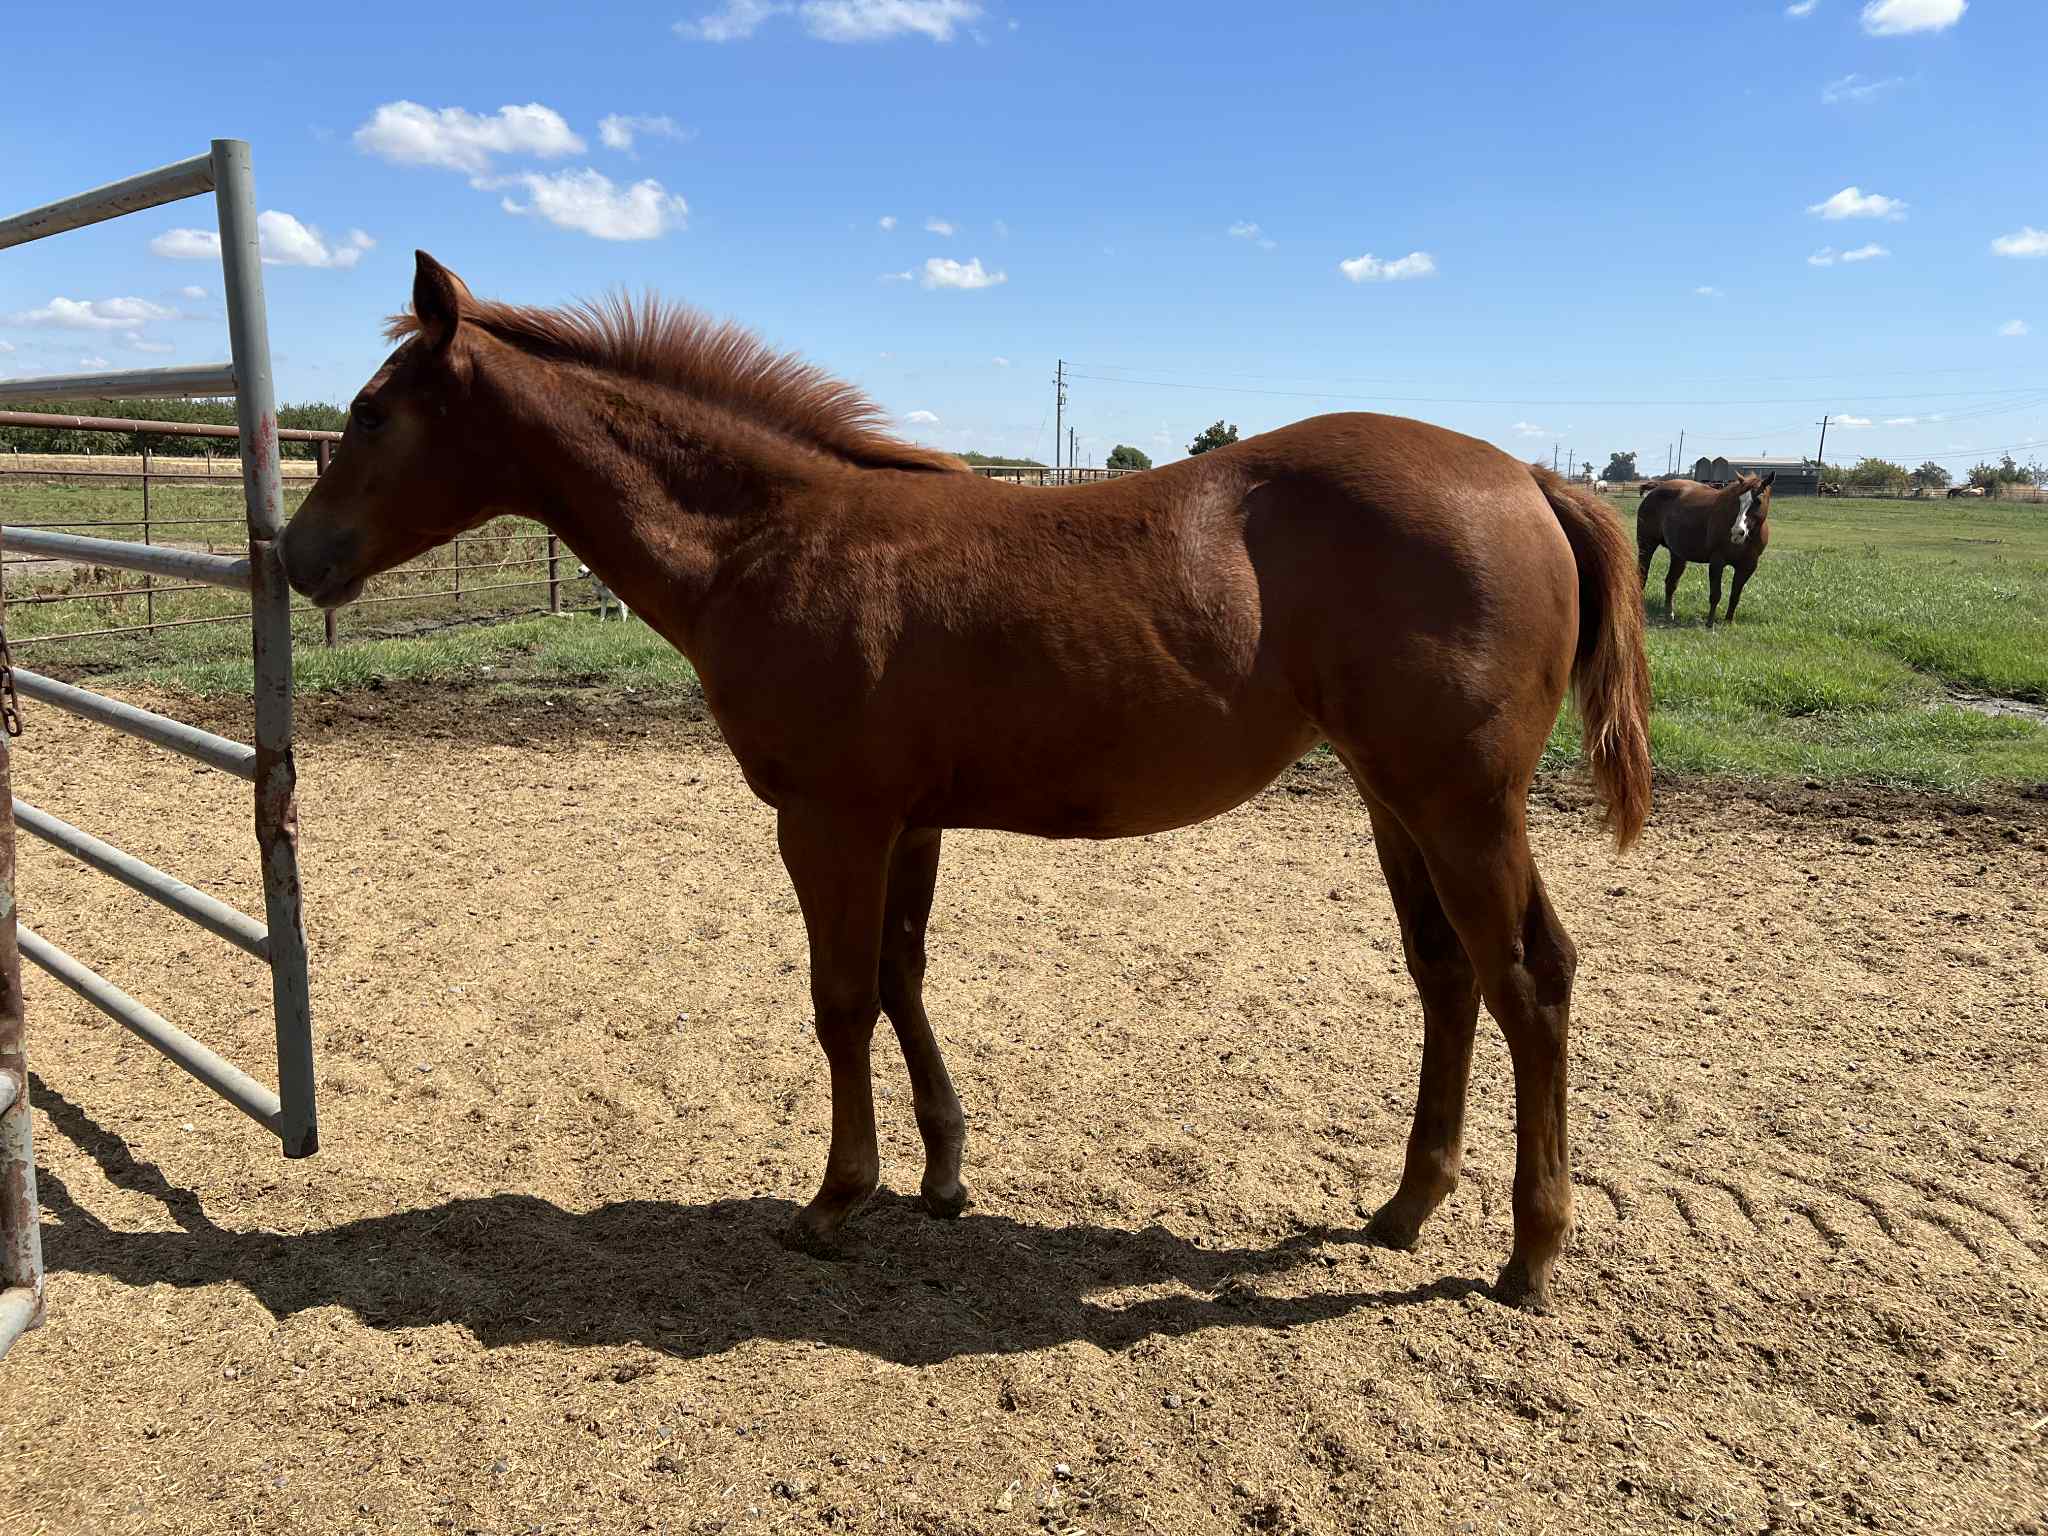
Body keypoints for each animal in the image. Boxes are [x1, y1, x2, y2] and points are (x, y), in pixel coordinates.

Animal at [278, 253, 1652, 1312]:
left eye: (371, 412)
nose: (295, 554)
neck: (771, 536)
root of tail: (1529, 480)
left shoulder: (827, 819)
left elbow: (839, 1000)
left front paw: (837, 1198)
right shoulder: (910, 822)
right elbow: (899, 977)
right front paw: (941, 1175)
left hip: (1458, 804)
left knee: (1527, 981)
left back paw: (1528, 1257)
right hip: (1391, 799)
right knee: (1446, 977)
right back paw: (1404, 1207)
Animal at [1636, 472, 1773, 625]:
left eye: (1758, 501)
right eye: (1738, 500)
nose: (1737, 532)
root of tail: (1656, 489)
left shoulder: (1747, 567)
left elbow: (1735, 596)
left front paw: (1728, 622)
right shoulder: (1717, 562)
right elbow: (1715, 594)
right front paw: (1709, 623)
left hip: (1678, 555)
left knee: (1670, 583)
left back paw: (1669, 614)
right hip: (1646, 545)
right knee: (1642, 576)